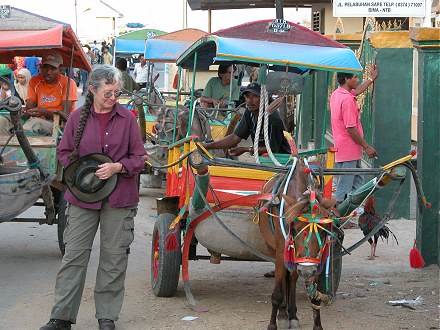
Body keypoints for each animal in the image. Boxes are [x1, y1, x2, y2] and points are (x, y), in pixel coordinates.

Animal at [260, 159, 338, 328]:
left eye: (323, 232)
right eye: (294, 229)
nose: (307, 271)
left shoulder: (316, 260)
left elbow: (314, 297)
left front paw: (317, 326)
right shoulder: (280, 252)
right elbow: (277, 293)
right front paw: (272, 325)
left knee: (292, 279)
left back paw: (292, 314)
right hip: (273, 248)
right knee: (285, 279)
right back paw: (283, 314)